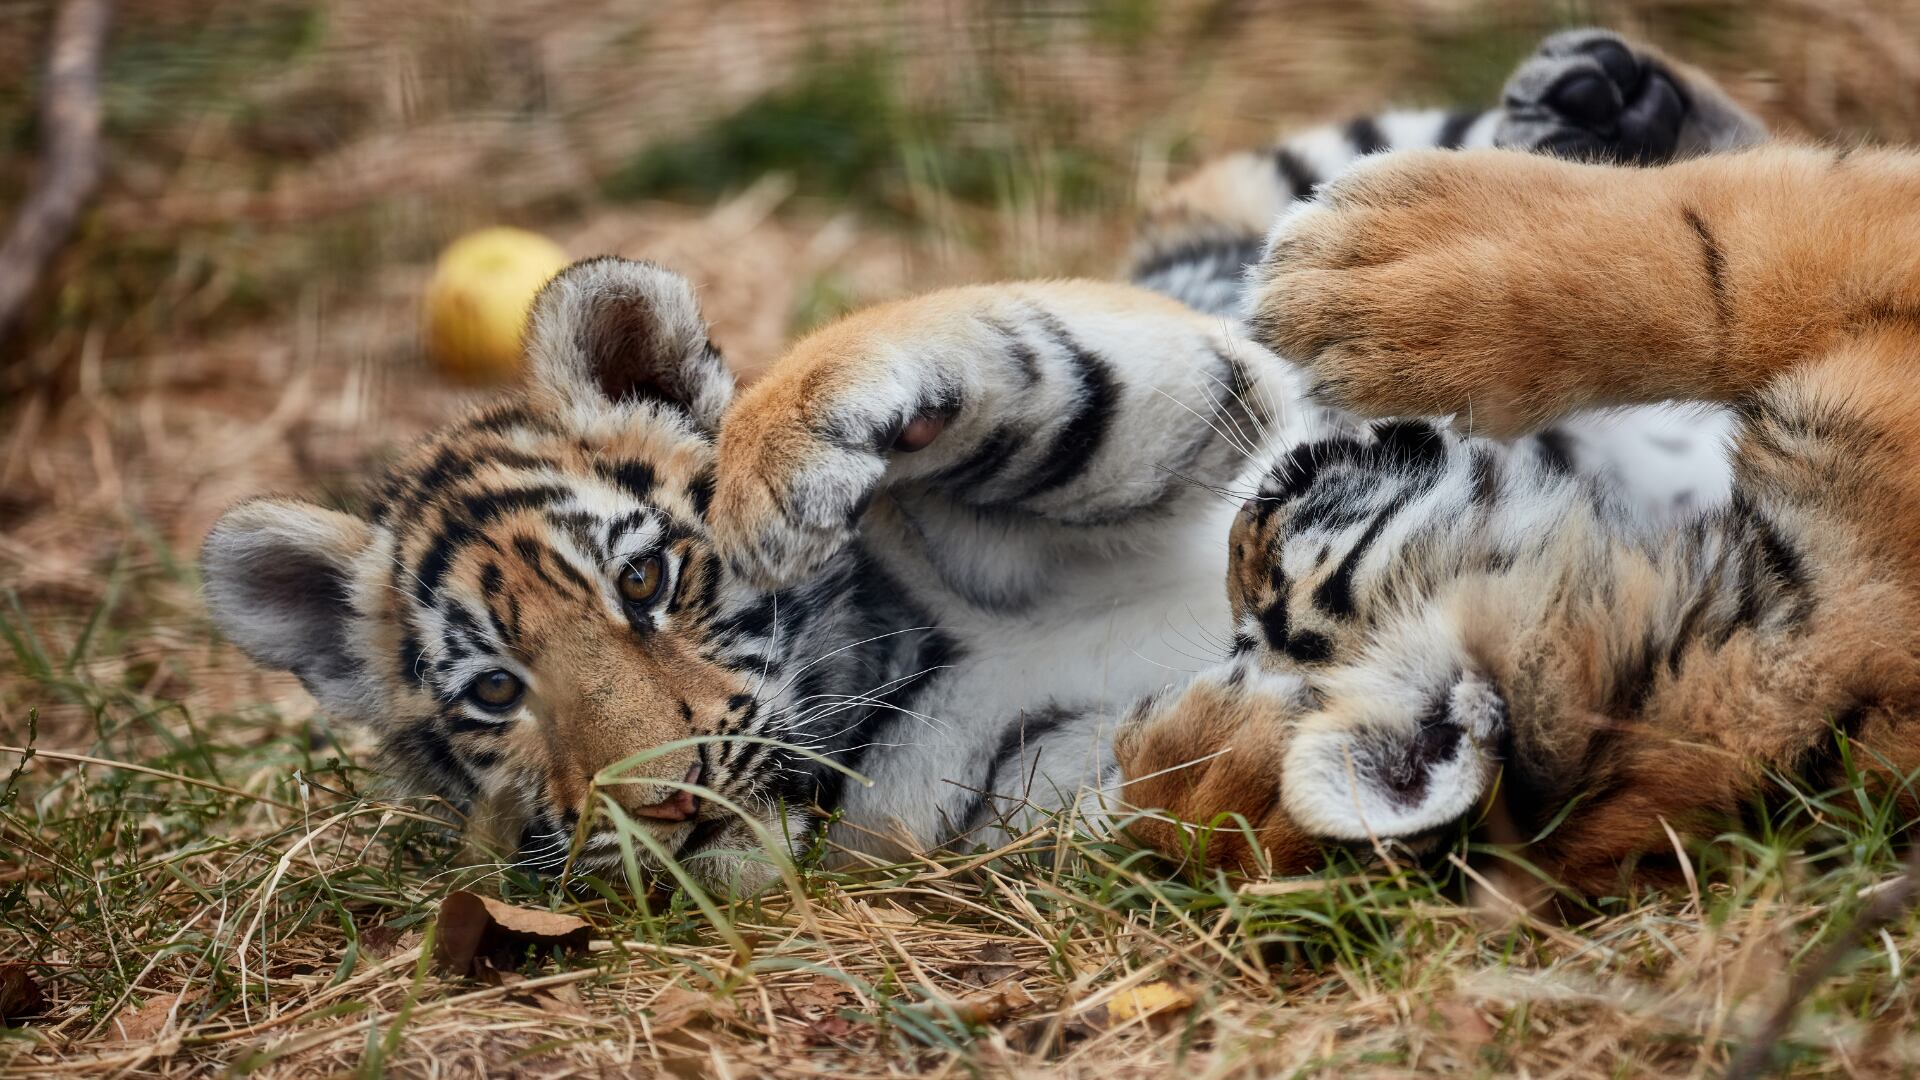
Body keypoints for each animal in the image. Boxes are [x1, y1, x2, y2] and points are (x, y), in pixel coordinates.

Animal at [199, 29, 1766, 893]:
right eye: (492, 695)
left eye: (649, 582)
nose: (658, 801)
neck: (883, 663)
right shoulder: (1012, 792)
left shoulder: (1196, 394)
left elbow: (1022, 364)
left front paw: (789, 457)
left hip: (1309, 191)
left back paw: (1598, 94)